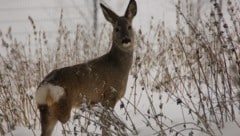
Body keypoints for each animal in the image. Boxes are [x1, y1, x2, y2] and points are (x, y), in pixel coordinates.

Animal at [35, 0, 137, 135]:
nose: (126, 40)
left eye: (129, 27)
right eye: (117, 29)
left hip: (44, 108)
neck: (118, 66)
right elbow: (106, 123)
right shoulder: (109, 95)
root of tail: (45, 87)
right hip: (62, 103)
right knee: (61, 119)